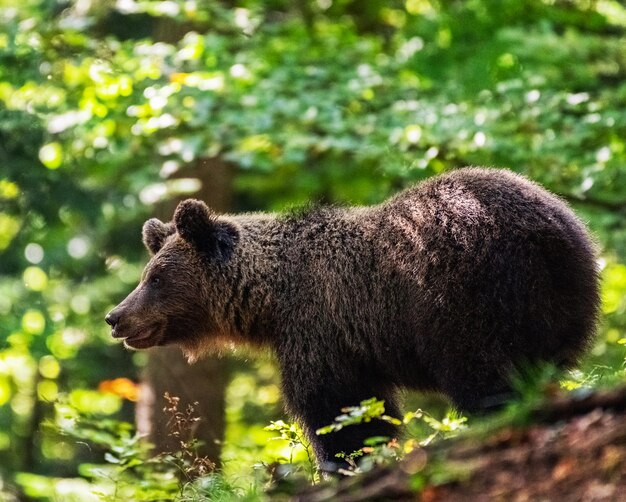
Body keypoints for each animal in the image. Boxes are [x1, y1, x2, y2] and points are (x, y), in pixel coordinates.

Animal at [105, 169, 596, 466]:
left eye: (156, 277)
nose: (116, 317)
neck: (270, 298)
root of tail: (553, 231)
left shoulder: (321, 328)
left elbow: (336, 408)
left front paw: (346, 460)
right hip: (556, 309)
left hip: (469, 299)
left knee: (487, 378)